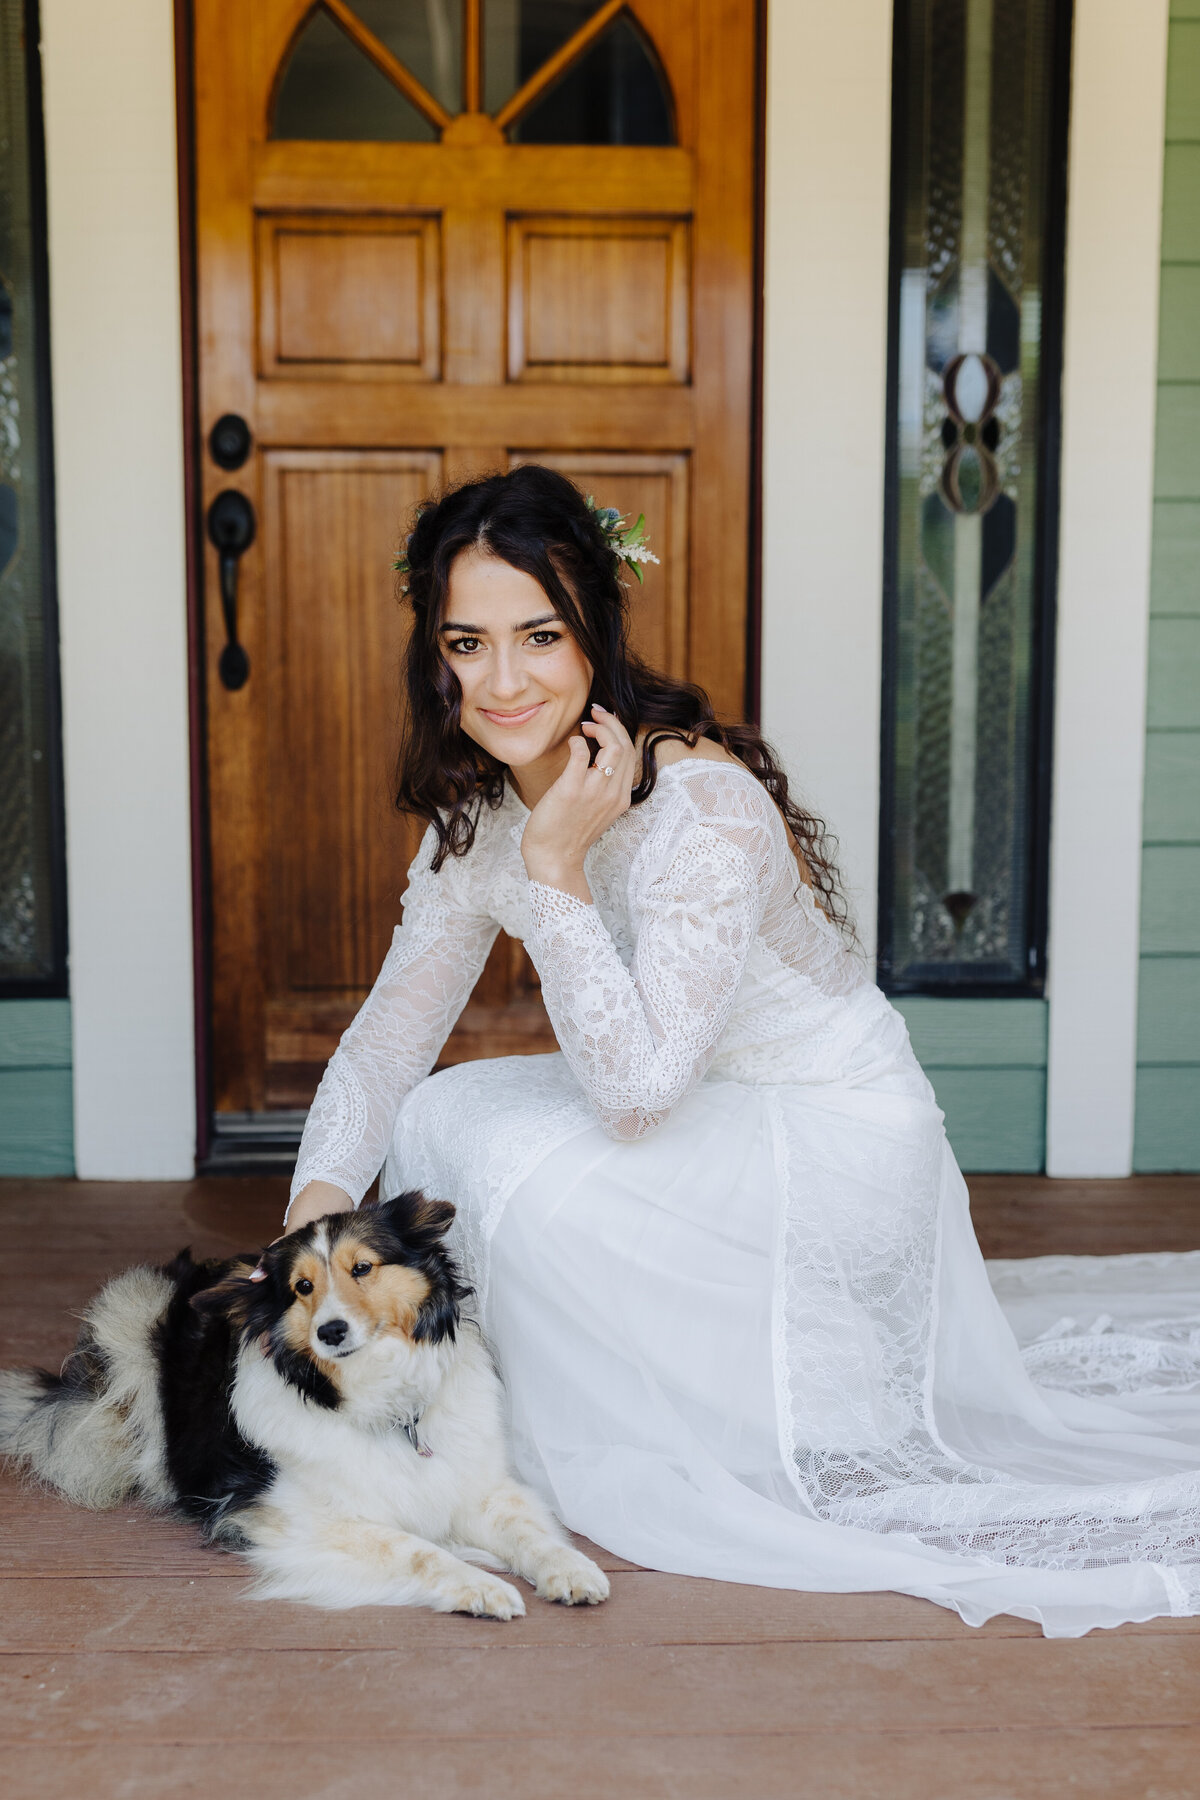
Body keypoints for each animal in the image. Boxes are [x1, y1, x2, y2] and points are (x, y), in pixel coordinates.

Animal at [0, 1195, 611, 1620]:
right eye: (301, 1287)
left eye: (363, 1268)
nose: (331, 1332)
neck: (384, 1401)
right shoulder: (302, 1520)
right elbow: (416, 1548)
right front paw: (481, 1587)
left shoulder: (476, 1487)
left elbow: (528, 1533)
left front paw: (571, 1569)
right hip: (132, 1316)